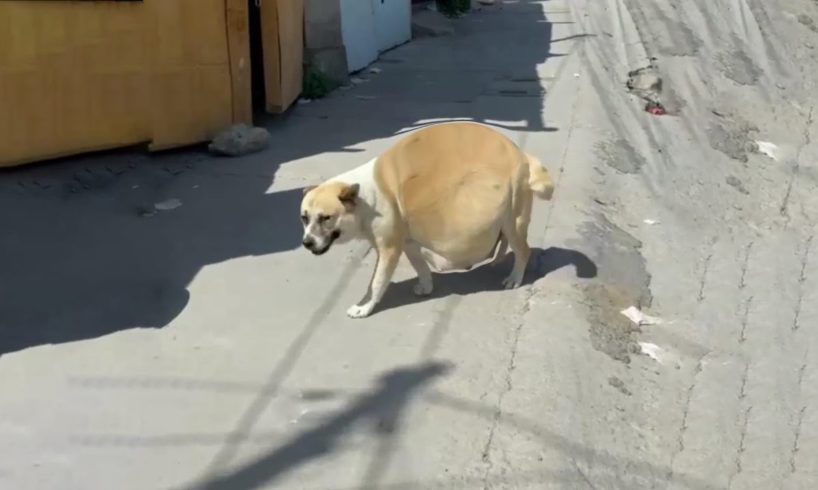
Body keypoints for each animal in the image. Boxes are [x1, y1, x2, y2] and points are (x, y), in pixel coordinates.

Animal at [300, 122, 556, 318]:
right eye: (304, 218)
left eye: (326, 218)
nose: (306, 242)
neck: (365, 198)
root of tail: (522, 155)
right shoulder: (408, 242)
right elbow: (420, 266)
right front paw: (426, 285)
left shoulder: (389, 249)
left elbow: (376, 282)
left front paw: (365, 307)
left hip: (513, 221)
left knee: (523, 250)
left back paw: (515, 277)